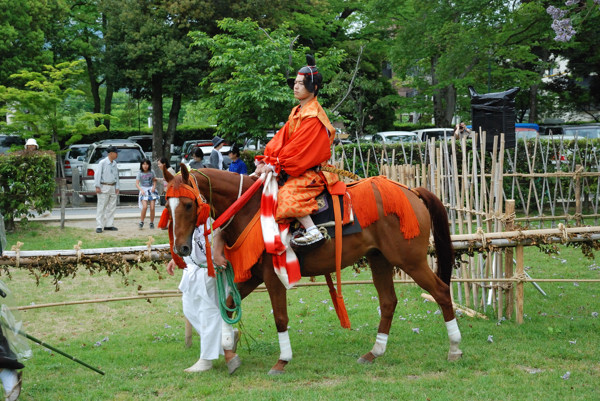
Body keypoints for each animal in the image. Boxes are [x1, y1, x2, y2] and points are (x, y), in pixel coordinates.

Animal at [162, 165, 462, 372]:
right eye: (168, 204)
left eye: (188, 204)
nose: (182, 249)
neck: (251, 210)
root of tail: (412, 192)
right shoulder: (254, 275)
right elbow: (228, 303)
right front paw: (229, 350)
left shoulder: (273, 276)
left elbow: (280, 318)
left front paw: (282, 361)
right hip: (380, 259)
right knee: (388, 302)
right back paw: (374, 352)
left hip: (409, 260)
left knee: (441, 292)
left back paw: (455, 348)